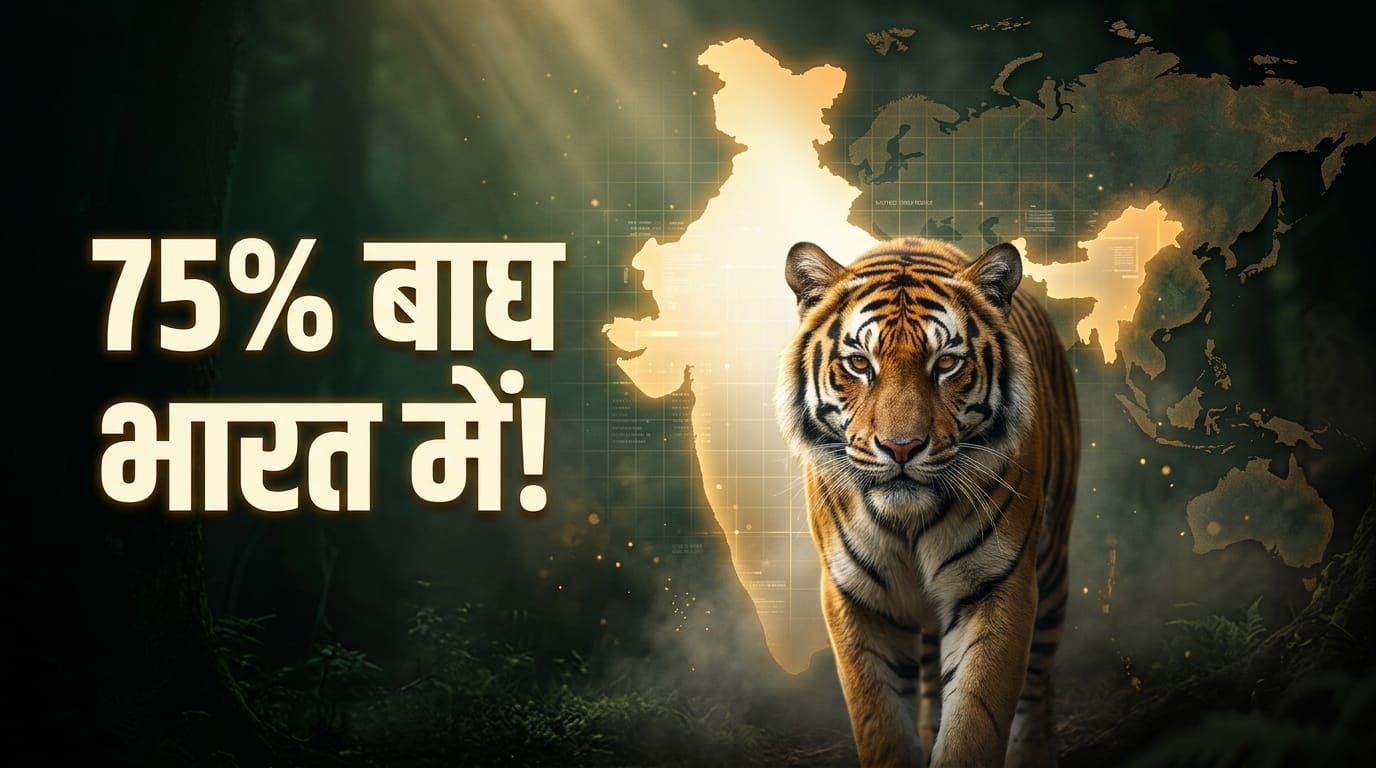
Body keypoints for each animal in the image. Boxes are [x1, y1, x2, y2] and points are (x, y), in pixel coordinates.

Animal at [775, 237, 1079, 768]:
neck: (909, 521)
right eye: (860, 364)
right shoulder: (857, 597)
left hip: (1052, 569)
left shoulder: (997, 585)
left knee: (1036, 692)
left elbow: (976, 721)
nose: (901, 447)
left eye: (946, 364)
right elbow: (880, 722)